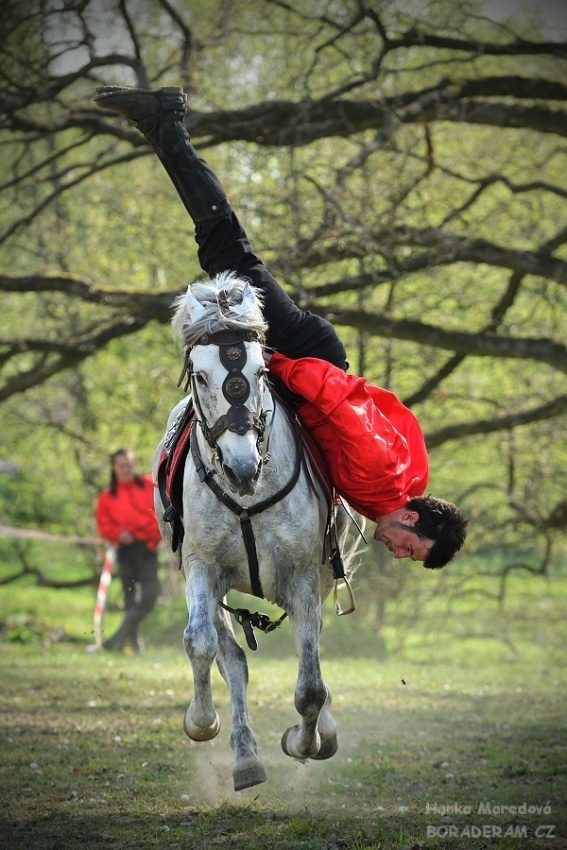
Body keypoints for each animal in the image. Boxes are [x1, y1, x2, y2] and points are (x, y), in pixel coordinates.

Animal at [153, 270, 358, 788]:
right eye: (201, 375)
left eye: (261, 372)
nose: (241, 466)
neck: (247, 495)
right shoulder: (201, 566)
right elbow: (200, 643)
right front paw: (201, 721)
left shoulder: (304, 575)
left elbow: (310, 686)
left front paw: (305, 741)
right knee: (233, 658)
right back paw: (245, 756)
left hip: (318, 575)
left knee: (311, 648)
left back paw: (319, 731)